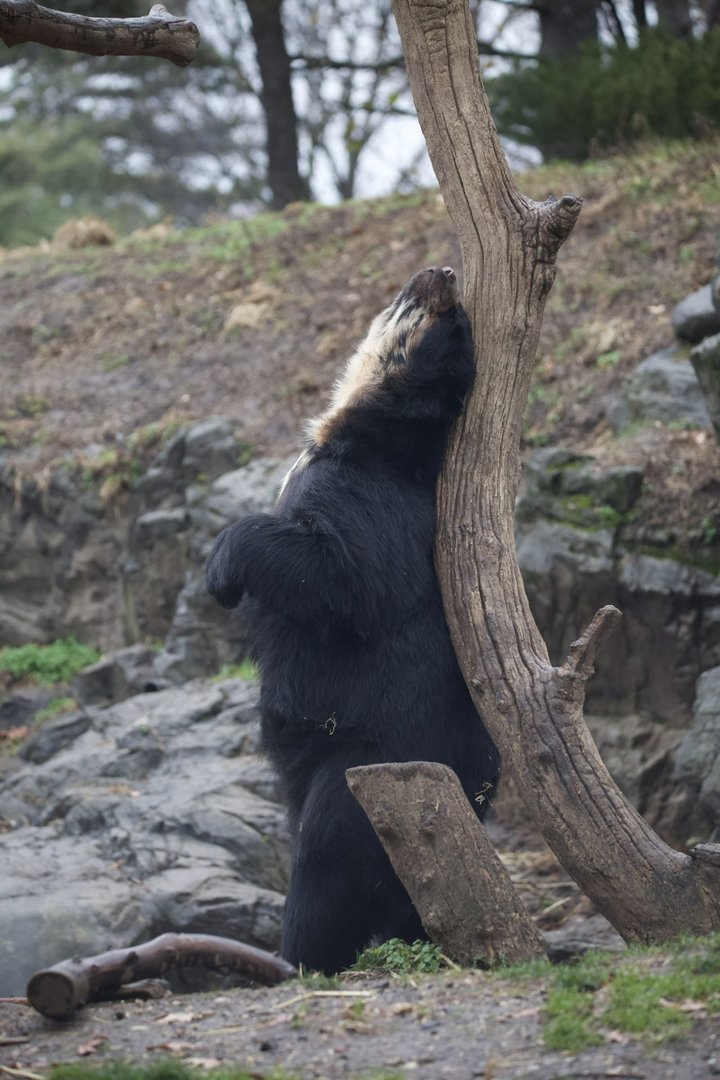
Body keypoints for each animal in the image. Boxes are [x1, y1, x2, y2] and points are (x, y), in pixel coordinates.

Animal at [207, 265, 500, 974]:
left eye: (445, 319)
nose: (443, 272)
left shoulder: (364, 500)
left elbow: (336, 574)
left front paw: (222, 573)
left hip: (373, 763)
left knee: (326, 860)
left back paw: (297, 959)